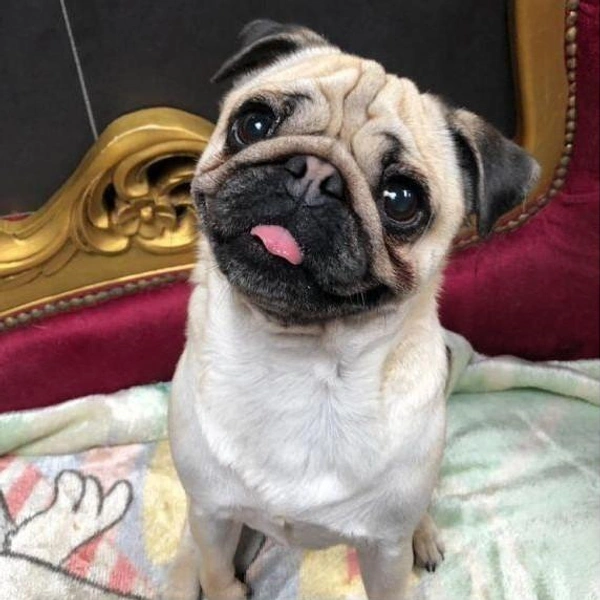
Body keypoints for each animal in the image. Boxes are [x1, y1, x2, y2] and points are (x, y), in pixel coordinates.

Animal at [165, 20, 539, 600]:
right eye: (253, 123)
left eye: (401, 199)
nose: (313, 175)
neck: (293, 359)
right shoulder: (212, 513)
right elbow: (219, 572)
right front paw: (220, 581)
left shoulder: (383, 550)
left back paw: (424, 536)